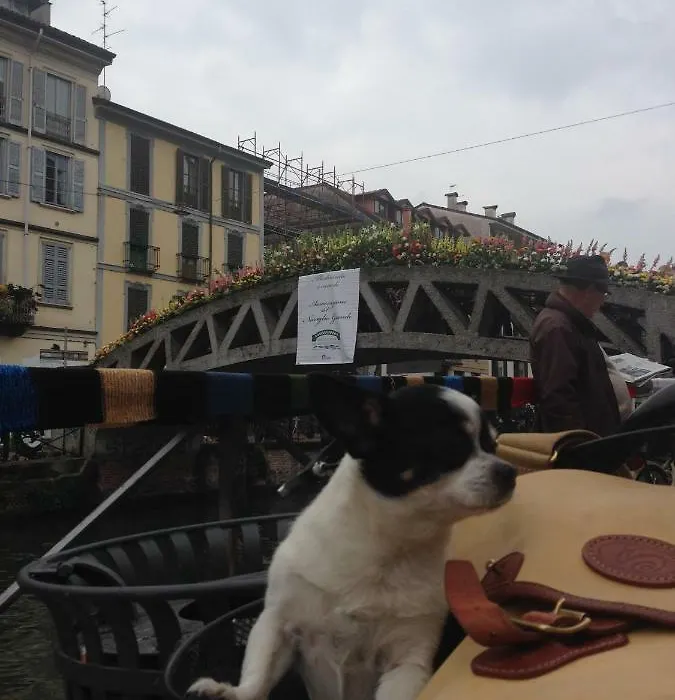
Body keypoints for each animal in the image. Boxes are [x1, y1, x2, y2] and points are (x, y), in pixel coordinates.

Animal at [188, 374, 516, 700]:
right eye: (449, 446)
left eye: (493, 445)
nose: (509, 471)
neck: (389, 547)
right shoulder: (276, 623)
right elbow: (258, 675)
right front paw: (230, 692)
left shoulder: (407, 662)